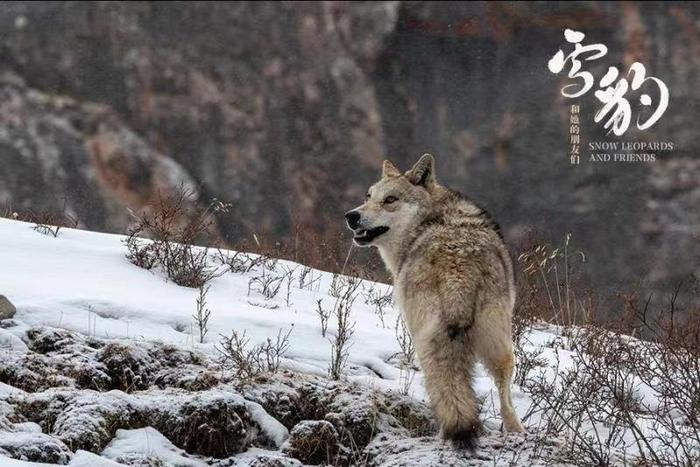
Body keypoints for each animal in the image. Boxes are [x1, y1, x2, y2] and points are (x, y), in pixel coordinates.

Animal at [348, 154, 524, 450]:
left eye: (390, 200)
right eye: (368, 196)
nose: (352, 216)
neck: (428, 219)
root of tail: (459, 267)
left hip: (426, 340)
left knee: (441, 383)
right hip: (500, 342)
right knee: (504, 393)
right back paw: (514, 431)